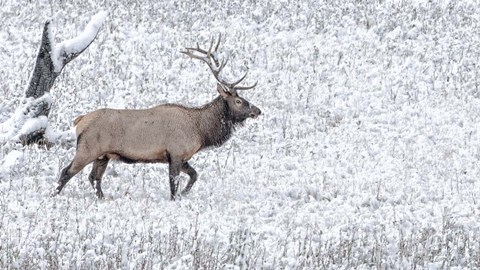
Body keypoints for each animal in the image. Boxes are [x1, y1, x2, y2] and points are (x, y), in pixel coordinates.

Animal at [54, 35, 260, 200]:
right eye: (239, 101)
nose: (257, 111)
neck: (201, 131)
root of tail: (79, 121)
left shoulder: (182, 157)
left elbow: (194, 175)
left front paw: (185, 194)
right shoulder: (175, 153)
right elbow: (174, 184)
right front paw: (176, 198)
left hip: (103, 155)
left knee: (94, 178)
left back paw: (102, 198)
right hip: (87, 149)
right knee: (66, 172)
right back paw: (53, 196)